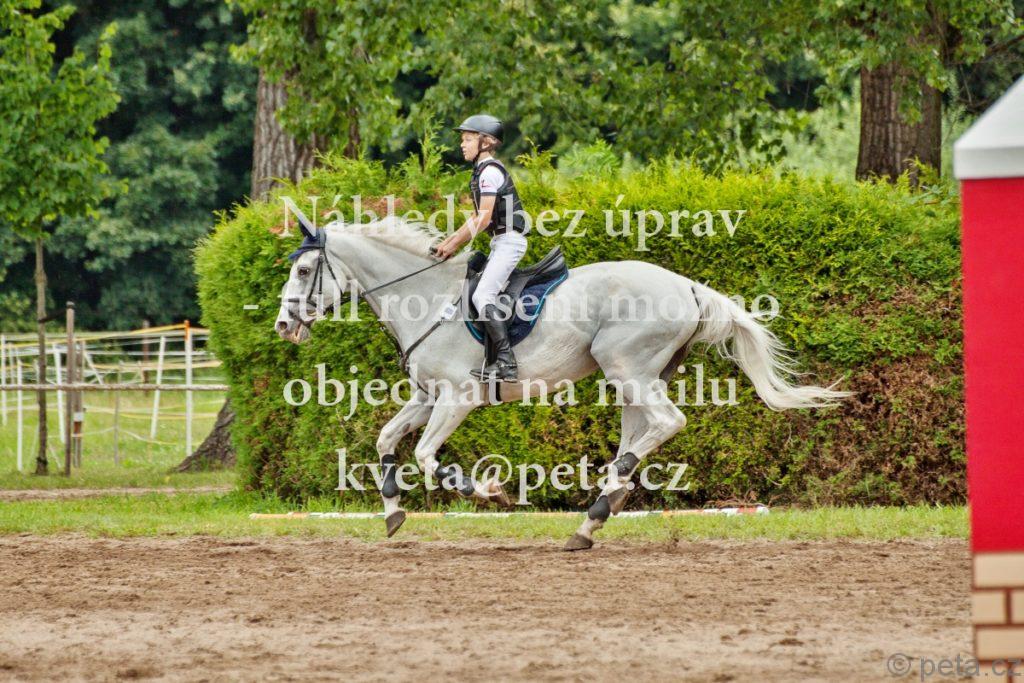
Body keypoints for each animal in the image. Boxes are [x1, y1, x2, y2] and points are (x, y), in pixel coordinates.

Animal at [275, 216, 852, 550]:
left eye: (303, 271)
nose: (283, 325)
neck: (425, 297)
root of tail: (687, 285)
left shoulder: (458, 398)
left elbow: (425, 456)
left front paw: (491, 492)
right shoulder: (425, 397)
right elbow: (387, 440)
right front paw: (394, 514)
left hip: (627, 369)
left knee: (668, 423)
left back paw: (603, 498)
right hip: (634, 378)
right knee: (641, 434)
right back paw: (596, 515)